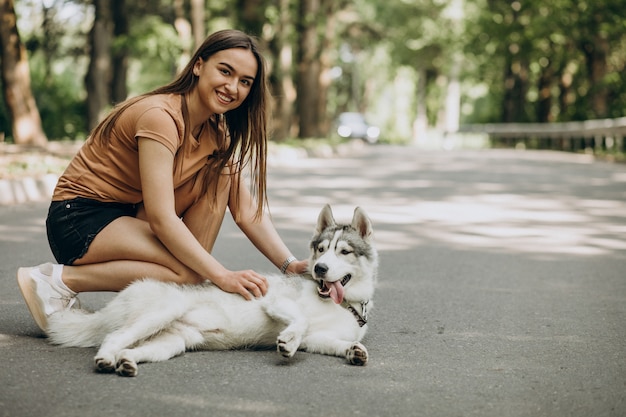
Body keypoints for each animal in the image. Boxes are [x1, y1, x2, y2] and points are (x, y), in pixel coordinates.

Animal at [47, 203, 376, 376]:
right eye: (321, 250)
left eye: (344, 252)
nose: (319, 268)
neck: (342, 304)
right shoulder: (275, 302)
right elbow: (301, 320)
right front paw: (287, 341)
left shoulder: (317, 339)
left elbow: (336, 342)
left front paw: (354, 352)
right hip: (164, 311)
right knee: (114, 337)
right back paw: (106, 359)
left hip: (172, 342)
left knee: (130, 348)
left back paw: (126, 362)